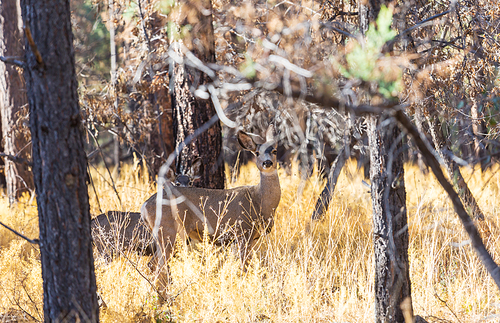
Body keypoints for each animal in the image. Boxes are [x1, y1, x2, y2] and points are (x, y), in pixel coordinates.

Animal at [142, 125, 282, 282]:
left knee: (154, 264)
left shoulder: (250, 238)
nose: (267, 163)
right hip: (168, 230)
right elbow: (244, 267)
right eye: (257, 153)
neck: (259, 201)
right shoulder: (243, 232)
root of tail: (145, 206)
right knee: (158, 265)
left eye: (274, 151)